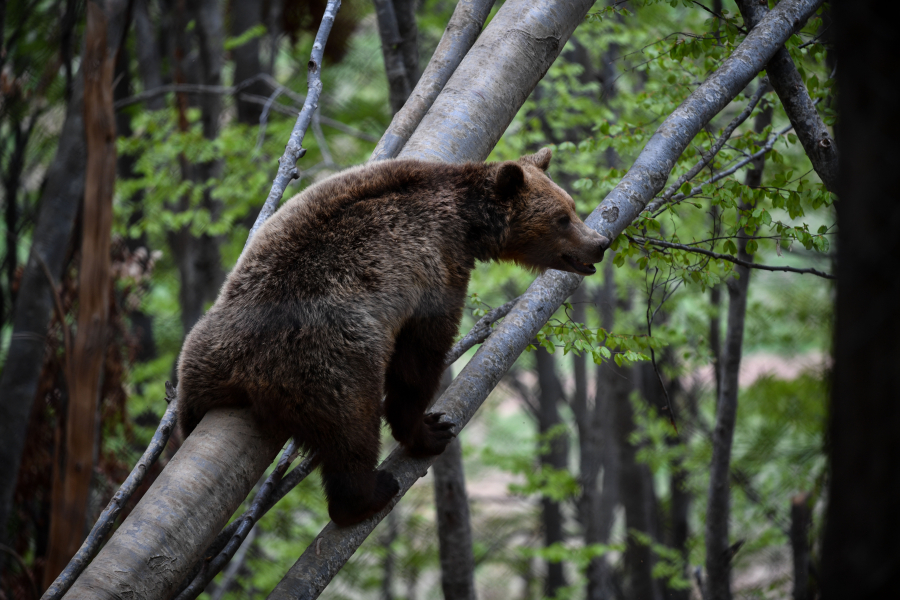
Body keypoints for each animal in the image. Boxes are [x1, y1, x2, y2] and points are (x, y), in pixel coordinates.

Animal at [178, 149, 608, 524]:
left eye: (571, 206)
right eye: (562, 218)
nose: (599, 244)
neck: (468, 224)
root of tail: (242, 367)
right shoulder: (435, 267)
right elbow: (420, 356)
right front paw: (429, 428)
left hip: (201, 357)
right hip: (327, 361)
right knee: (352, 429)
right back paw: (370, 492)